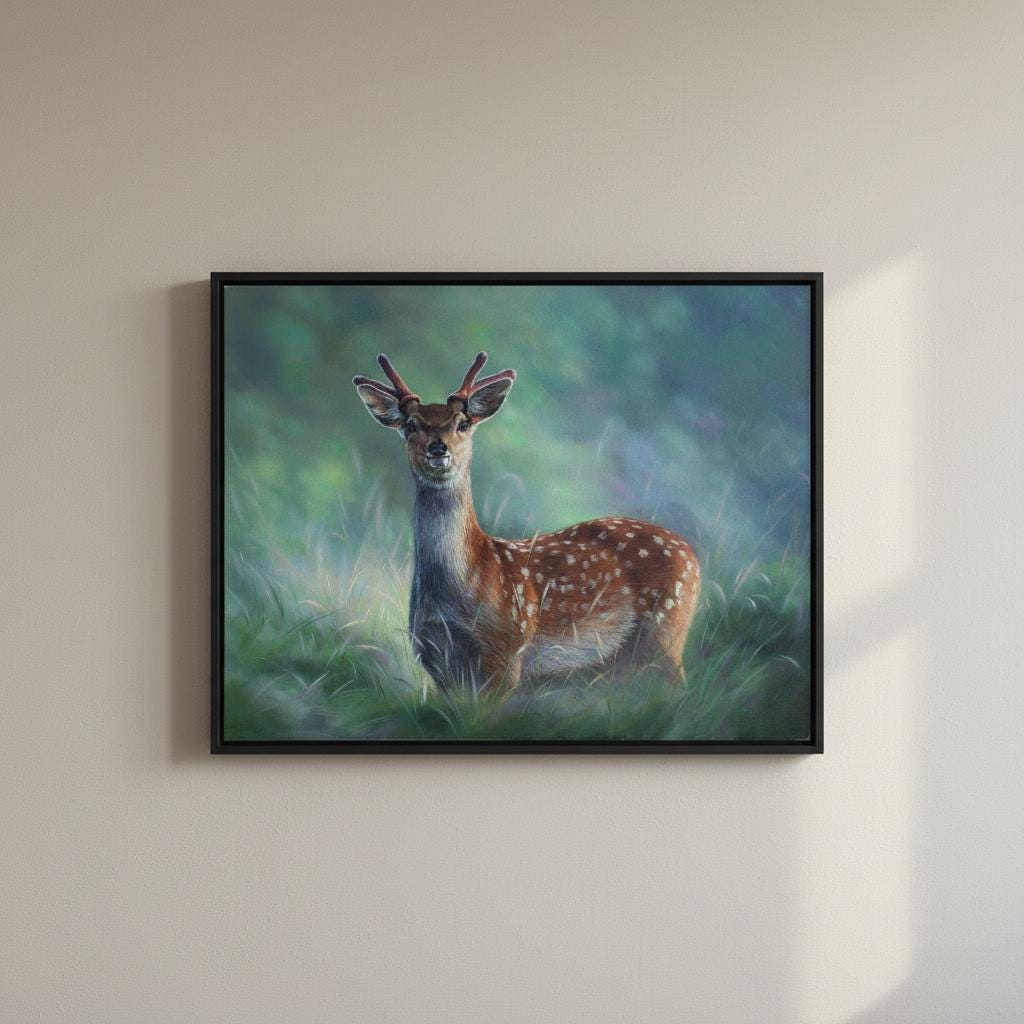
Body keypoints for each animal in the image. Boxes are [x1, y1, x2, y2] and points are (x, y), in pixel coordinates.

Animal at [353, 352, 701, 694]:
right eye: (411, 425)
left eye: (462, 424)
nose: (438, 448)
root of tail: (692, 555)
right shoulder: (438, 663)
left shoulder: (507, 649)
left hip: (667, 630)